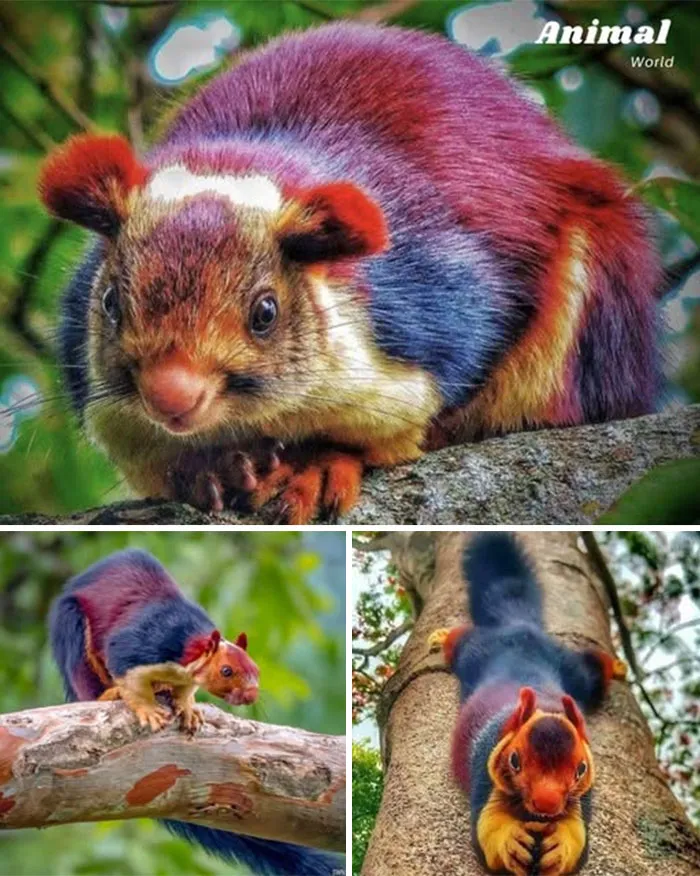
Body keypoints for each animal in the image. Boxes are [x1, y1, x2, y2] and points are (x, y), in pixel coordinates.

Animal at [38, 23, 660, 524]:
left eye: (265, 312)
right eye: (110, 301)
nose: (171, 396)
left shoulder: (436, 308)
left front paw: (317, 465)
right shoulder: (106, 402)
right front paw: (208, 469)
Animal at [50, 549, 343, 876]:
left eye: (256, 670)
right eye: (226, 671)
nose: (251, 694)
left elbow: (185, 693)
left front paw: (188, 708)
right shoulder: (139, 642)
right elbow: (124, 666)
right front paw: (146, 708)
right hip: (74, 634)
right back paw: (109, 693)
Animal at [429, 534, 626, 876]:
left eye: (581, 768)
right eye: (515, 760)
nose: (547, 804)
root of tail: (520, 628)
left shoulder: (584, 793)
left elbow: (579, 836)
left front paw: (560, 847)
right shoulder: (485, 763)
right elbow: (486, 828)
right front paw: (511, 842)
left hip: (573, 671)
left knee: (591, 669)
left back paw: (614, 666)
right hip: (476, 651)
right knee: (462, 640)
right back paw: (443, 637)